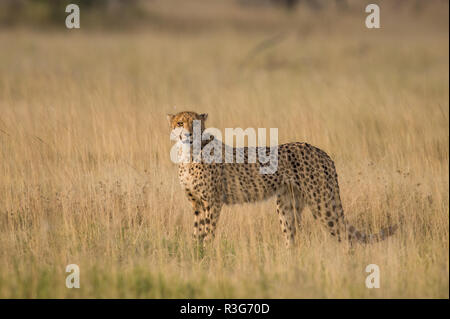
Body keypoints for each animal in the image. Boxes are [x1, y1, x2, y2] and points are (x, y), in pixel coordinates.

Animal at [166, 111, 398, 249]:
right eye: (180, 122)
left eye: (195, 123)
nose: (188, 134)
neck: (188, 153)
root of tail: (321, 151)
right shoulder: (196, 203)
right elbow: (197, 231)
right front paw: (195, 254)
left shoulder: (212, 202)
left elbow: (208, 231)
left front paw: (206, 254)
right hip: (287, 204)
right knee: (292, 238)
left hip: (321, 202)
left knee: (344, 236)